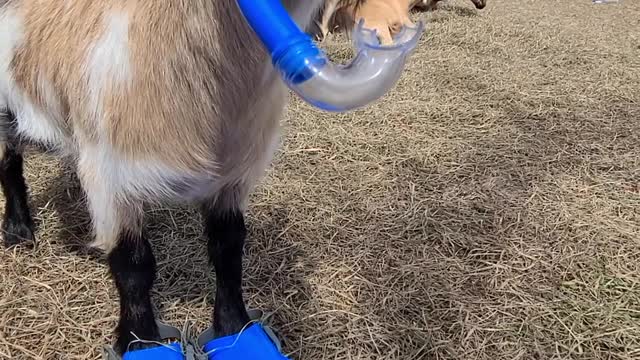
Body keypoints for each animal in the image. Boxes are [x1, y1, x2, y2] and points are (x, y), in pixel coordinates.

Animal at [2, 0, 336, 354]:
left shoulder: (233, 174)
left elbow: (229, 247)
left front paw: (234, 328)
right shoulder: (110, 174)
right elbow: (133, 264)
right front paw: (140, 340)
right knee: (9, 161)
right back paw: (18, 229)